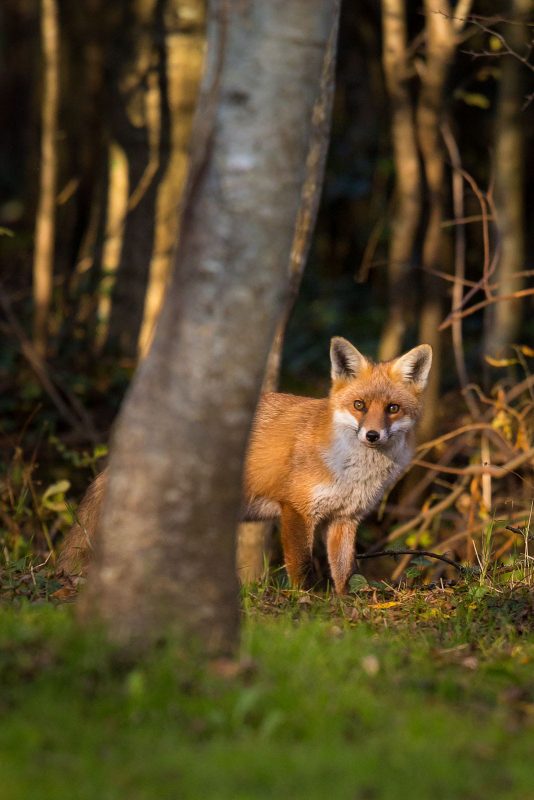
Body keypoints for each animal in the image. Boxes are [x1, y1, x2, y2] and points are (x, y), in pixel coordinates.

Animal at [58, 338, 434, 592]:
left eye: (392, 409)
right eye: (359, 405)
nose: (372, 435)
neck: (353, 472)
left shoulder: (345, 518)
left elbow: (345, 572)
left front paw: (342, 606)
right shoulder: (296, 509)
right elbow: (300, 567)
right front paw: (304, 604)